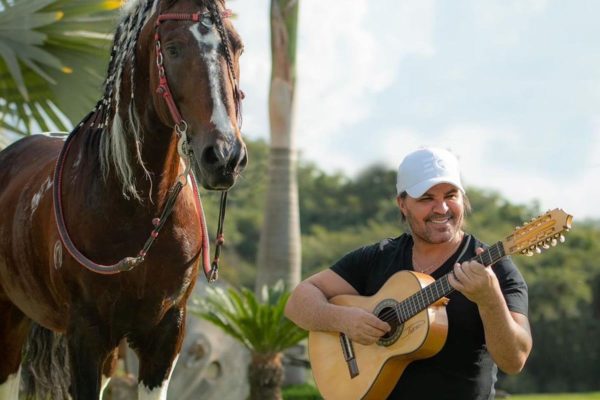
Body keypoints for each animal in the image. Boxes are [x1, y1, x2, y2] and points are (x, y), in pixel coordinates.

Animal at [0, 0, 247, 396]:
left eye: (237, 47)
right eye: (173, 48)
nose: (225, 156)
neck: (138, 207)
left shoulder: (165, 335)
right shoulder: (85, 336)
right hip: (9, 317)